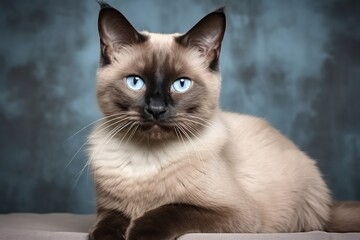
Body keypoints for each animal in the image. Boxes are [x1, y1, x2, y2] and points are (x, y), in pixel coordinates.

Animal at [88, 2, 360, 240]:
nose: (156, 109)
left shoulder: (233, 212)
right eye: (135, 82)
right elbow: (106, 223)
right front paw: (109, 236)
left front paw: (138, 233)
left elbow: (170, 210)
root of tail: (329, 209)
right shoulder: (109, 208)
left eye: (181, 84)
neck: (146, 161)